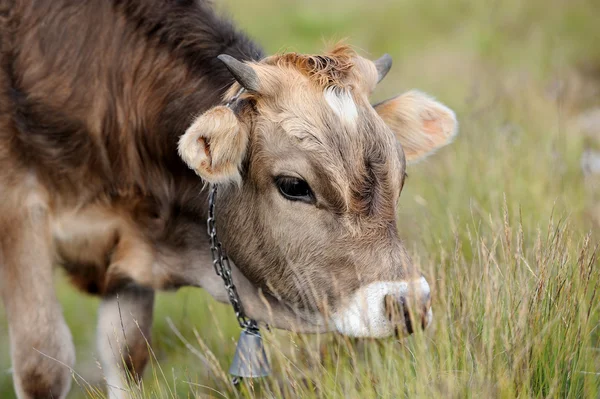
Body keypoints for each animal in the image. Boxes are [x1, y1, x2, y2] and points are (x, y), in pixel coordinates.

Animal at [0, 0, 458, 399]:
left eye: (400, 176)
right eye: (294, 185)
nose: (408, 303)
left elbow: (126, 354)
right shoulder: (19, 213)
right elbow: (43, 367)